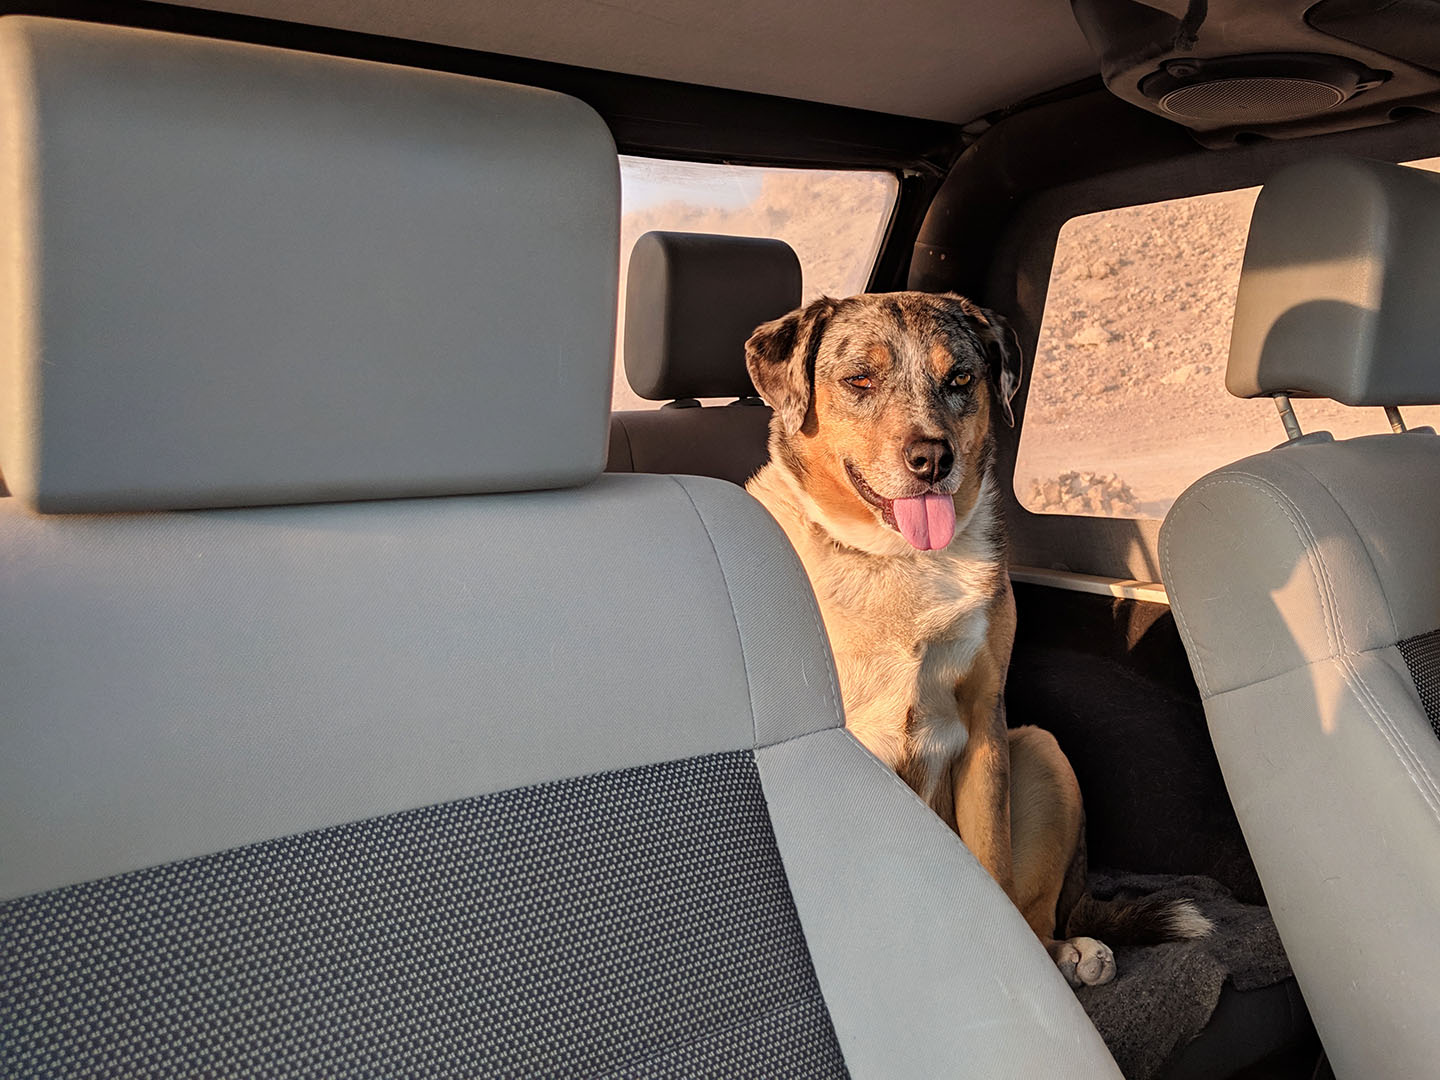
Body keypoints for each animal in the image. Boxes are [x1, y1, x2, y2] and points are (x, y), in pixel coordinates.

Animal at [743, 293, 1203, 990]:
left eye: (959, 379)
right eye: (860, 380)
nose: (932, 460)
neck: (899, 561)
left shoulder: (985, 722)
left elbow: (993, 866)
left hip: (1041, 750)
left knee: (1034, 912)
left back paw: (1067, 955)